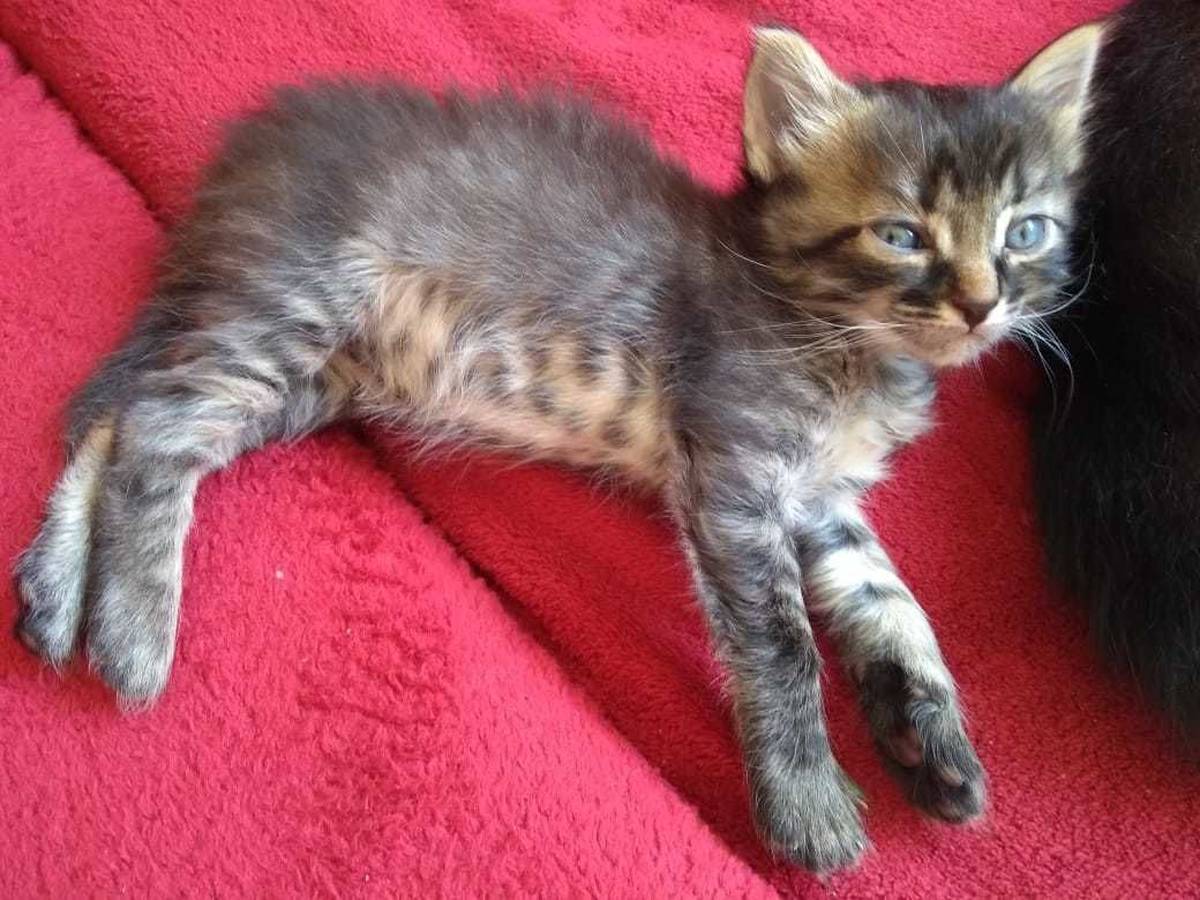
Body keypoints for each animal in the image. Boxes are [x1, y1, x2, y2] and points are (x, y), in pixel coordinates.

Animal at [15, 23, 1102, 870]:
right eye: (902, 234)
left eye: (1026, 231)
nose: (983, 304)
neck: (845, 342)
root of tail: (250, 155)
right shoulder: (737, 474)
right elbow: (783, 641)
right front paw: (807, 801)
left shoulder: (822, 501)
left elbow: (893, 608)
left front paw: (932, 746)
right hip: (291, 311)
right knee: (153, 428)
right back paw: (133, 629)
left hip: (298, 372)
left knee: (112, 411)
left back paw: (55, 595)